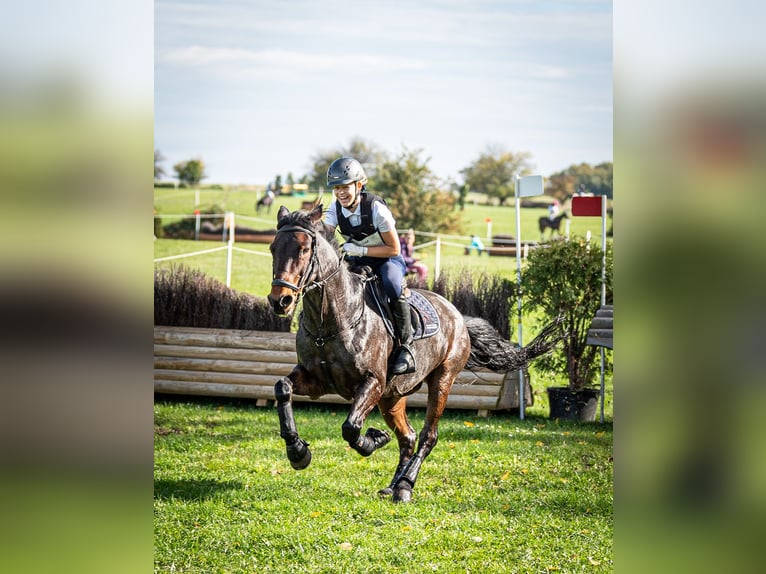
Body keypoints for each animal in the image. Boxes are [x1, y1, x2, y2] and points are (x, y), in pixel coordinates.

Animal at [268, 206, 564, 504]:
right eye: (272, 248)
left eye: (304, 250)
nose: (280, 301)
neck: (330, 321)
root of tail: (457, 315)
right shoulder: (317, 381)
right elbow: (283, 388)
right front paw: (298, 452)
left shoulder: (372, 382)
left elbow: (351, 427)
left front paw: (372, 440)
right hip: (392, 396)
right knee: (407, 436)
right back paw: (392, 485)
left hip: (441, 380)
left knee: (427, 435)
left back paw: (405, 485)